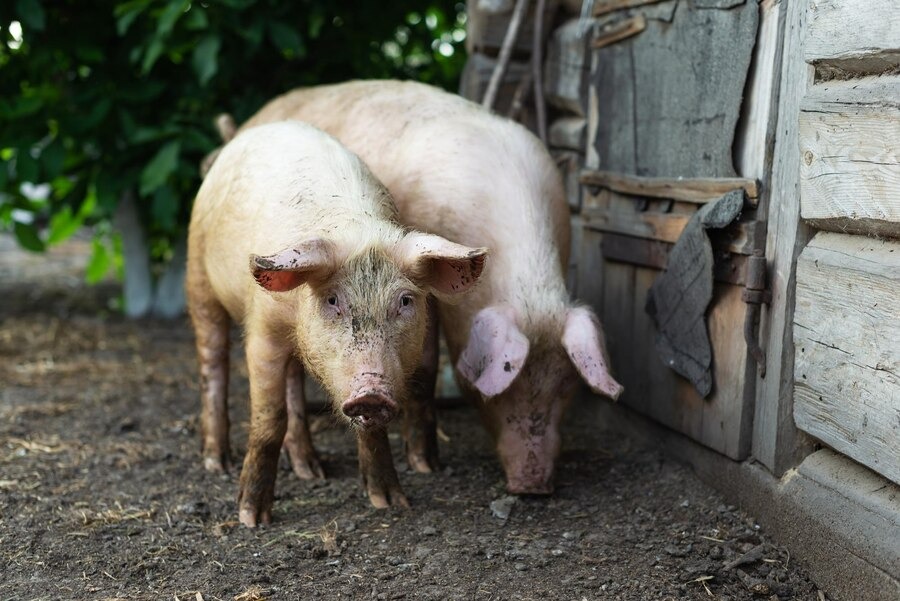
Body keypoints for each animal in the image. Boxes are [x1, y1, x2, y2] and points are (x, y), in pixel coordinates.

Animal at [186, 119, 488, 524]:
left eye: (405, 301)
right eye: (332, 300)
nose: (371, 392)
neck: (355, 231)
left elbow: (372, 431)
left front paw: (391, 502)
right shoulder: (263, 329)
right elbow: (269, 419)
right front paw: (252, 518)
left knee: (294, 386)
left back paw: (310, 470)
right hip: (197, 275)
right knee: (212, 362)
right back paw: (217, 461)